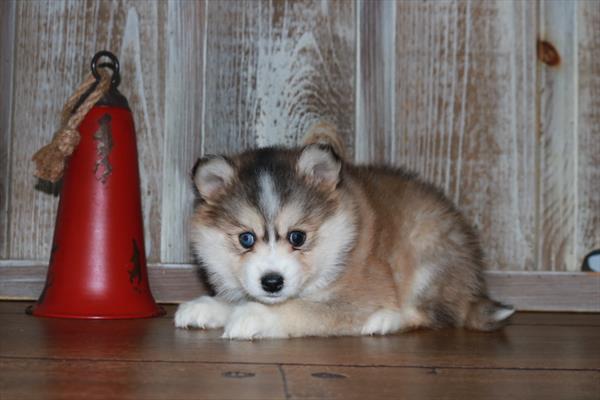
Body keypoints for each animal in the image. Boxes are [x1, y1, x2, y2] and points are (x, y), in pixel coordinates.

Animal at [175, 122, 516, 340]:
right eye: (246, 239)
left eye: (298, 236)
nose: (272, 282)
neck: (340, 237)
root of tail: (472, 289)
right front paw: (208, 307)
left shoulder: (354, 298)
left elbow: (299, 308)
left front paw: (253, 316)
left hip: (426, 250)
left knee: (433, 315)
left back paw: (386, 320)